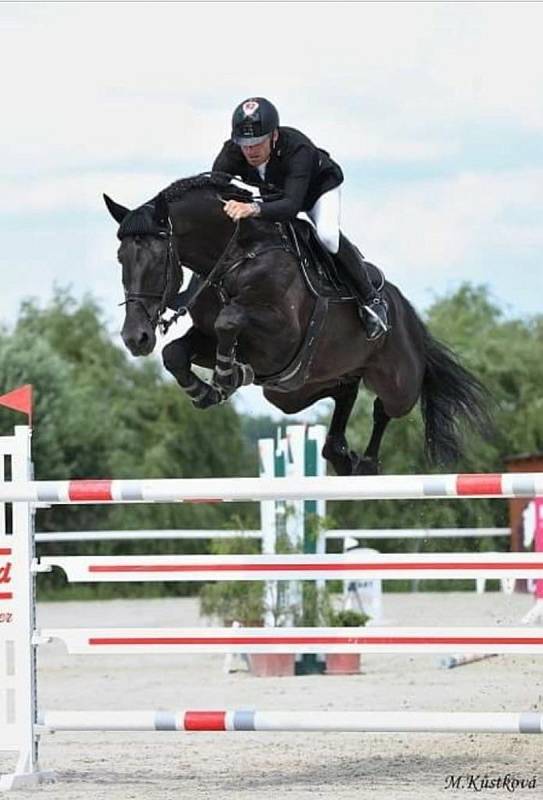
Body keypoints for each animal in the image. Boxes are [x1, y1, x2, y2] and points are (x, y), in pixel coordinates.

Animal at [103, 171, 492, 472]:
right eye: (120, 257)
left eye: (156, 258)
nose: (135, 337)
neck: (237, 257)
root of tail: (405, 310)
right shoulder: (210, 340)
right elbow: (176, 353)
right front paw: (206, 390)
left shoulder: (279, 339)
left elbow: (230, 319)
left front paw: (227, 376)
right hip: (291, 392)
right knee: (344, 391)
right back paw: (341, 456)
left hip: (399, 379)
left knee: (385, 408)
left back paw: (366, 463)